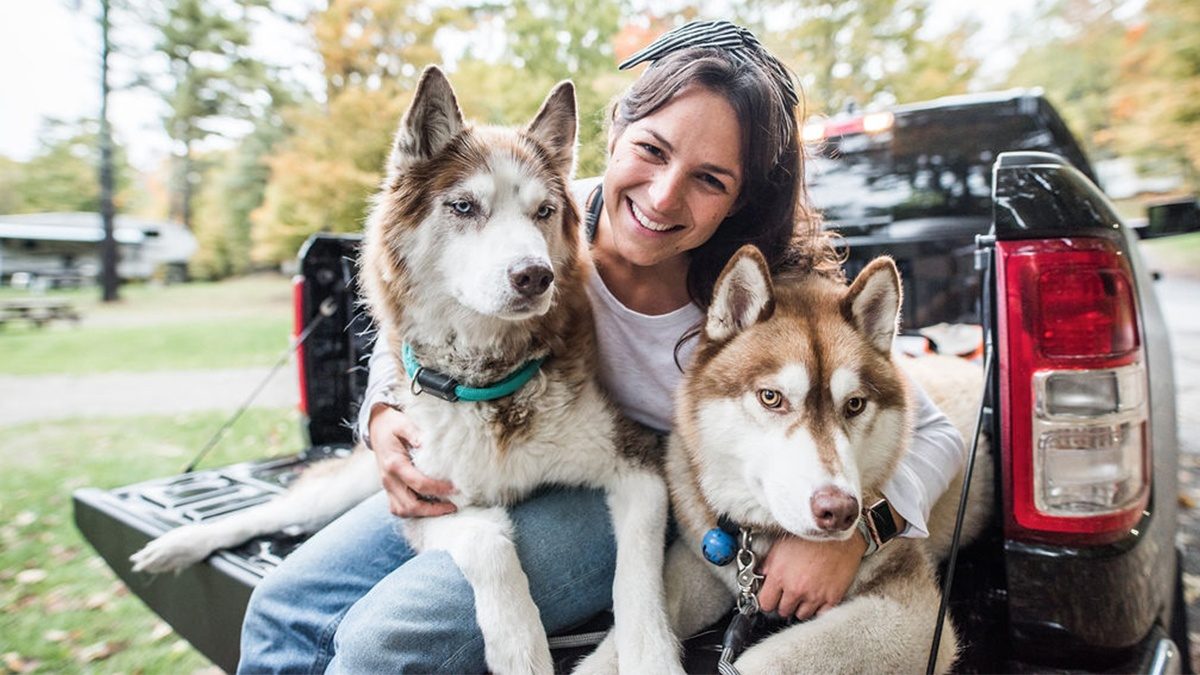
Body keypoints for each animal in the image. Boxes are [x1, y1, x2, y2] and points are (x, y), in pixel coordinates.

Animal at [131, 66, 683, 675]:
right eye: (464, 207)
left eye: (543, 212)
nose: (535, 276)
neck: (487, 381)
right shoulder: (422, 501)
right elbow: (491, 545)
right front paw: (519, 646)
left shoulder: (637, 465)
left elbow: (637, 577)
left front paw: (649, 655)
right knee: (274, 510)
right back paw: (181, 545)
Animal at [575, 244, 992, 674]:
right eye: (771, 397)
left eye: (854, 405)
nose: (839, 511)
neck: (759, 538)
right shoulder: (699, 562)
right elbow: (646, 609)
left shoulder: (915, 619)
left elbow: (771, 659)